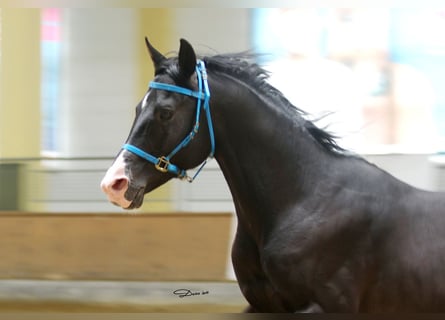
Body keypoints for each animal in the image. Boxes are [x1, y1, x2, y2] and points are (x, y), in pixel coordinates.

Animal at [101, 37, 445, 312]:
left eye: (166, 112)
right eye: (137, 108)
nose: (114, 184)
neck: (302, 201)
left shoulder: (327, 307)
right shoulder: (261, 305)